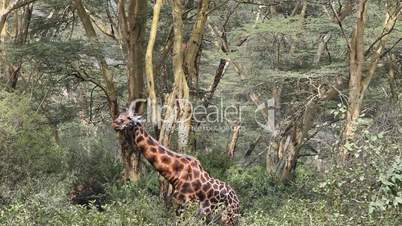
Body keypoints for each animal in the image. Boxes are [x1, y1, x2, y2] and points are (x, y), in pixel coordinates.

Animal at [111, 110, 240, 225]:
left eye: (128, 118)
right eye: (120, 115)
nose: (115, 124)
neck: (175, 172)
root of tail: (238, 200)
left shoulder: (183, 205)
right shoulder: (178, 204)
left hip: (229, 217)